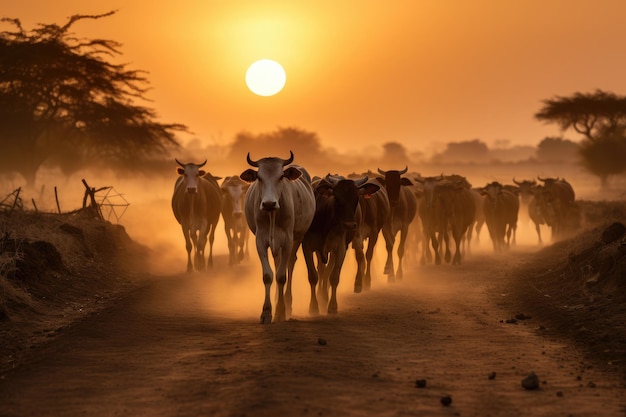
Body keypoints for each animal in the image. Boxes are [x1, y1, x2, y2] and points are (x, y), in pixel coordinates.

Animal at [240, 151, 314, 324]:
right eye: (259, 177)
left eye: (281, 177)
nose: (269, 203)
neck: (272, 214)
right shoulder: (260, 241)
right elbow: (268, 275)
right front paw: (266, 312)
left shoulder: (287, 241)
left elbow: (281, 276)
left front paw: (280, 311)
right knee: (278, 262)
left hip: (298, 237)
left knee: (290, 264)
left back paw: (287, 302)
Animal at [300, 174, 378, 314]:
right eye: (336, 199)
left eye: (356, 198)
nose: (350, 225)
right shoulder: (307, 246)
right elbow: (313, 276)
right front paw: (313, 306)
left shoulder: (341, 248)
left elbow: (334, 276)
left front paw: (332, 306)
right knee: (322, 271)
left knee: (327, 271)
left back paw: (324, 296)